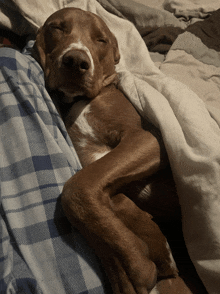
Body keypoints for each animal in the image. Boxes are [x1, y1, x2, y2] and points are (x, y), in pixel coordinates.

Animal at [31, 7, 205, 294]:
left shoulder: (148, 139)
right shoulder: (90, 157)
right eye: (57, 27)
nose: (76, 61)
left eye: (101, 40)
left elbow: (77, 189)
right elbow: (102, 192)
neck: (83, 101)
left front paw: (130, 267)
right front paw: (142, 248)